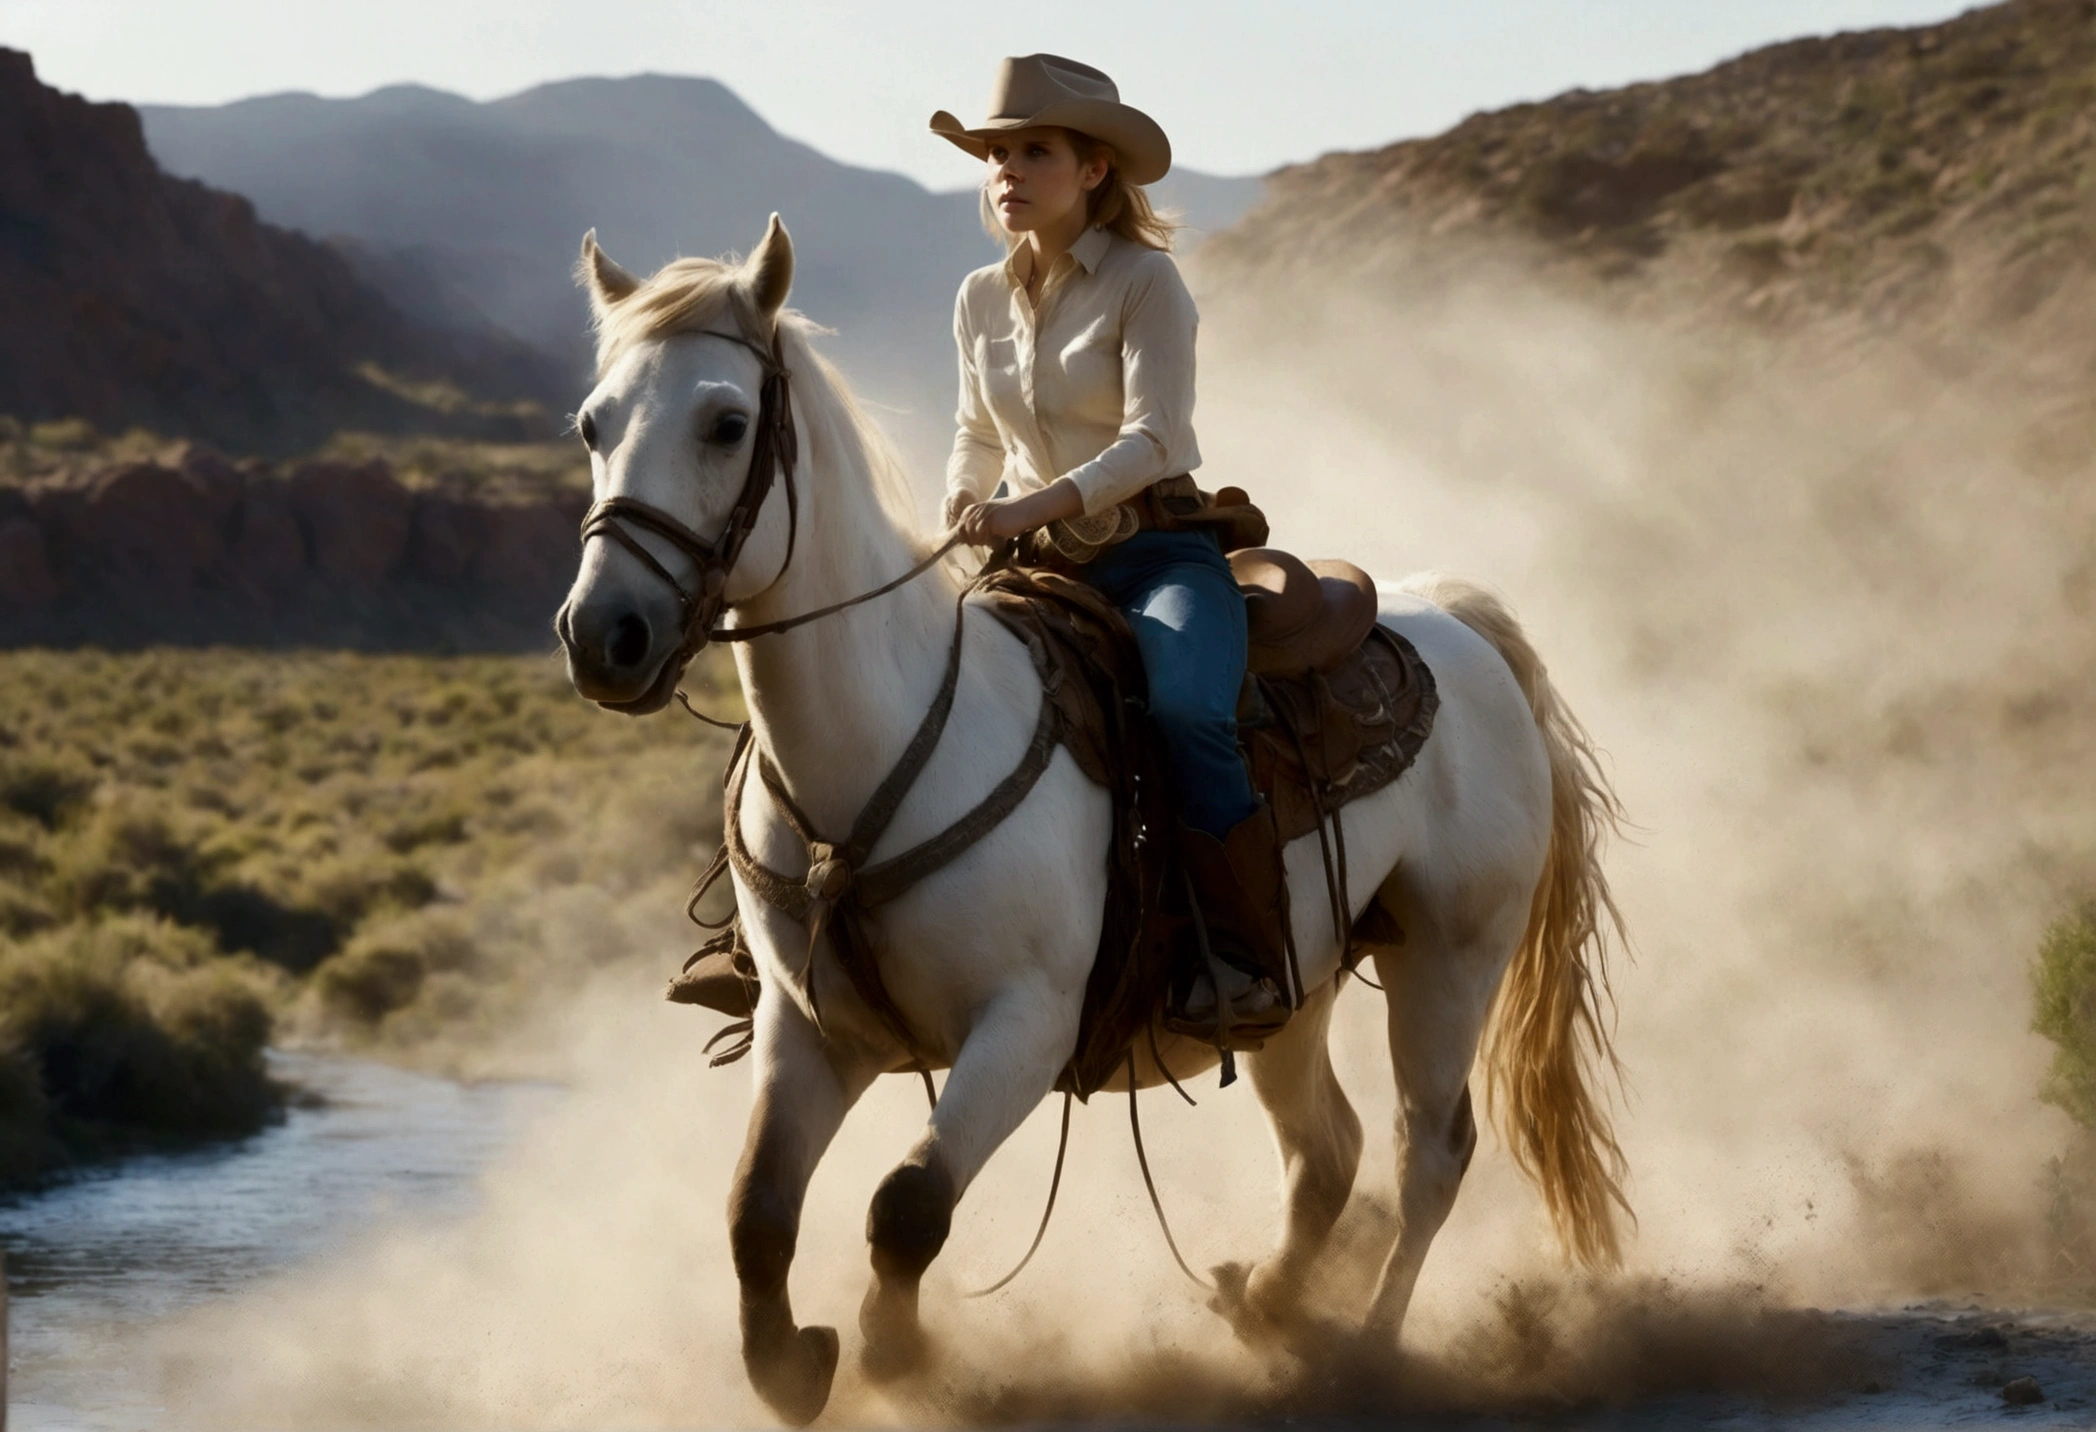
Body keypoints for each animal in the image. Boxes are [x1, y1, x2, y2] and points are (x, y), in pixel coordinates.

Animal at [553, 218, 1618, 1425]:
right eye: (592, 423)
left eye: (727, 422)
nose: (604, 635)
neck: (887, 750)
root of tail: (1456, 617)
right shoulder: (807, 1026)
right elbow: (755, 1214)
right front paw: (791, 1363)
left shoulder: (1023, 1026)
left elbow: (906, 1207)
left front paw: (896, 1353)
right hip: (1297, 986)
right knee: (1326, 1155)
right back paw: (1265, 1306)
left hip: (1450, 957)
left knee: (1425, 1152)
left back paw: (1368, 1350)